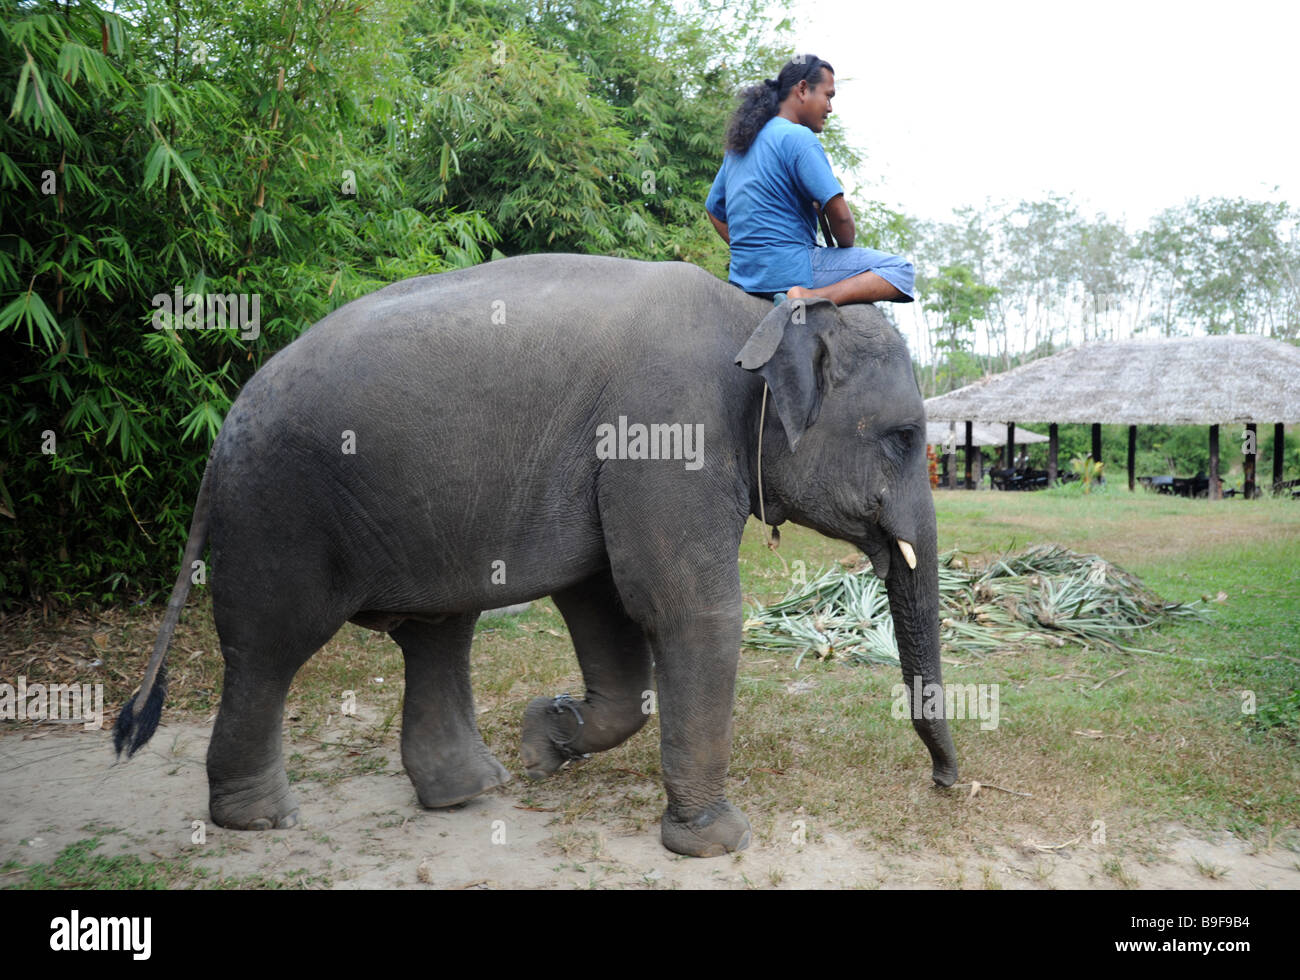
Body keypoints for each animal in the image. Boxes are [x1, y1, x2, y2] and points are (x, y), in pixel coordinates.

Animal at [114, 252, 957, 857]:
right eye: (903, 438)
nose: (949, 783)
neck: (758, 314)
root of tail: (222, 428)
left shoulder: (613, 461)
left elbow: (602, 601)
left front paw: (543, 742)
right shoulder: (663, 433)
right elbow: (682, 606)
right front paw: (718, 842)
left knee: (436, 634)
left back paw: (471, 790)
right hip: (279, 509)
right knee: (270, 646)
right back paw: (263, 821)